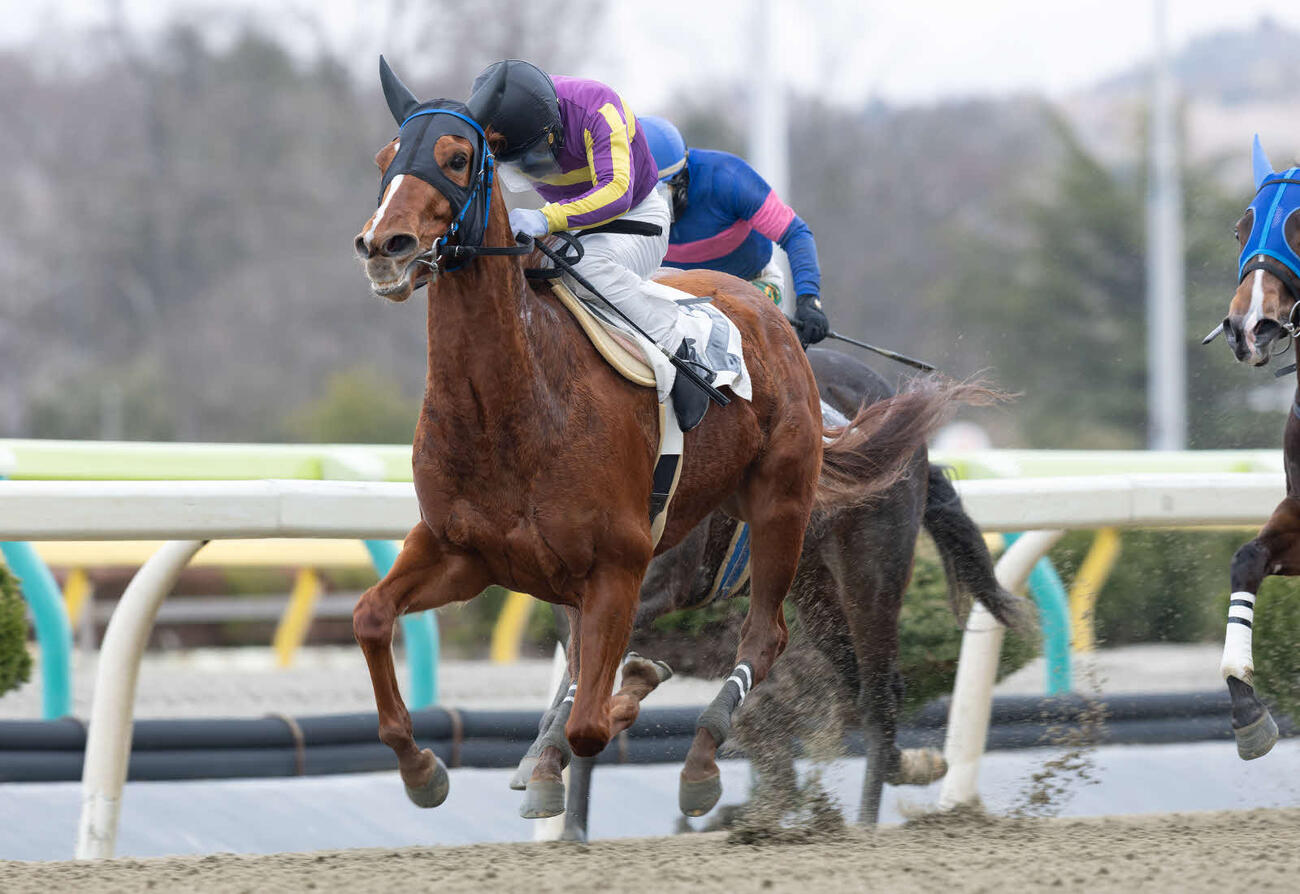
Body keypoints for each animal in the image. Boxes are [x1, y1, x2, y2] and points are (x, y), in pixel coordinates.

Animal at [349, 58, 971, 816]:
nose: (386, 248)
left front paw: (588, 725)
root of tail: (772, 321)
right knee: (850, 683)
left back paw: (719, 762)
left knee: (816, 664)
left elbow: (589, 716)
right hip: (816, 579)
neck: (514, 409)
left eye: (458, 157)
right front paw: (423, 768)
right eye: (384, 159)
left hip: (823, 539)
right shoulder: (463, 552)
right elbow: (372, 616)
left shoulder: (622, 569)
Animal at [517, 347, 1019, 839]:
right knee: (871, 686)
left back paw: (865, 819)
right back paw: (909, 766)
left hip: (871, 575)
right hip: (817, 593)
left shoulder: (652, 588)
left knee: (877, 695)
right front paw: (559, 803)